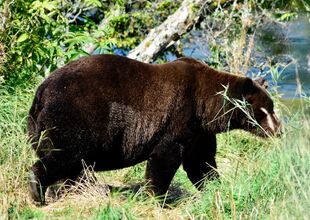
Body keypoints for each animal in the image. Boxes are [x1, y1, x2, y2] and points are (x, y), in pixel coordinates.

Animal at [27, 54, 282, 204]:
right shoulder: (179, 116)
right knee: (65, 155)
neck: (206, 107)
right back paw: (37, 191)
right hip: (76, 115)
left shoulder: (199, 132)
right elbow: (165, 158)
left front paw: (216, 186)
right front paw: (155, 195)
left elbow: (201, 162)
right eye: (266, 110)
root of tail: (42, 91)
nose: (279, 130)